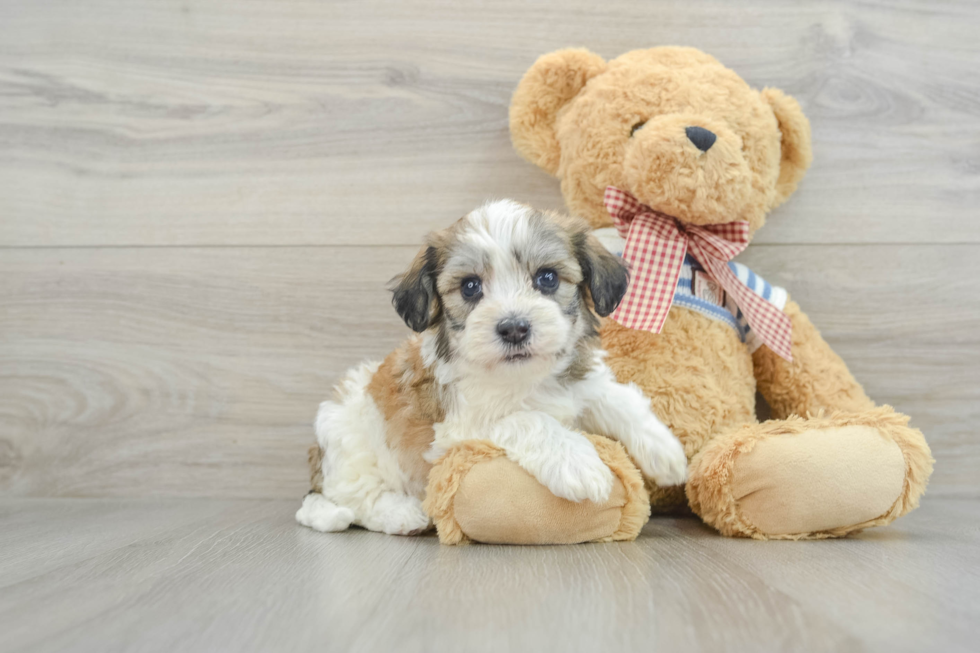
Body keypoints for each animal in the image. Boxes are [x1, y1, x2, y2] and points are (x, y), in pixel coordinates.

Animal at [294, 200, 684, 536]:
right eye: (470, 286)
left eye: (547, 278)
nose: (514, 328)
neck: (525, 379)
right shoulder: (455, 430)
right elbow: (526, 419)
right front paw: (578, 462)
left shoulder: (581, 383)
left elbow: (616, 398)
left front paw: (665, 450)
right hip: (350, 444)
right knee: (355, 500)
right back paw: (403, 513)